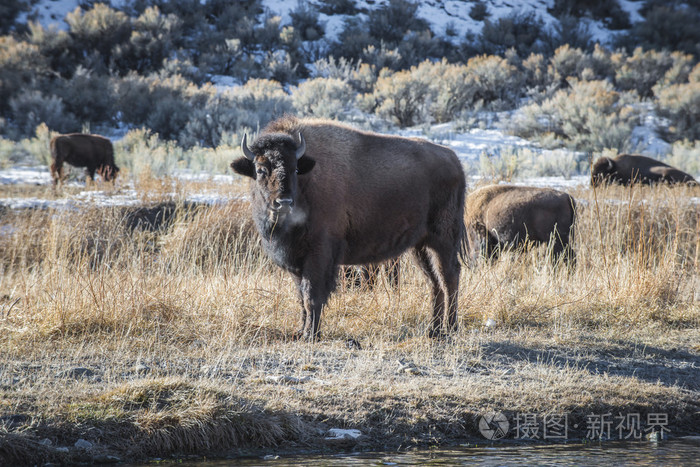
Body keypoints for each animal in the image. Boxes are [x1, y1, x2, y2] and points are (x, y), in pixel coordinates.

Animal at [232, 117, 468, 340]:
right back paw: (433, 330)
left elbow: (312, 297)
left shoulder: (318, 255)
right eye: (261, 169)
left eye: (295, 168)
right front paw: (300, 332)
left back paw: (450, 328)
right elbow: (301, 298)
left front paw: (311, 335)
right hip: (421, 246)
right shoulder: (296, 262)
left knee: (449, 277)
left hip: (444, 241)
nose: (284, 202)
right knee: (434, 282)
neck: (307, 182)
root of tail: (455, 160)